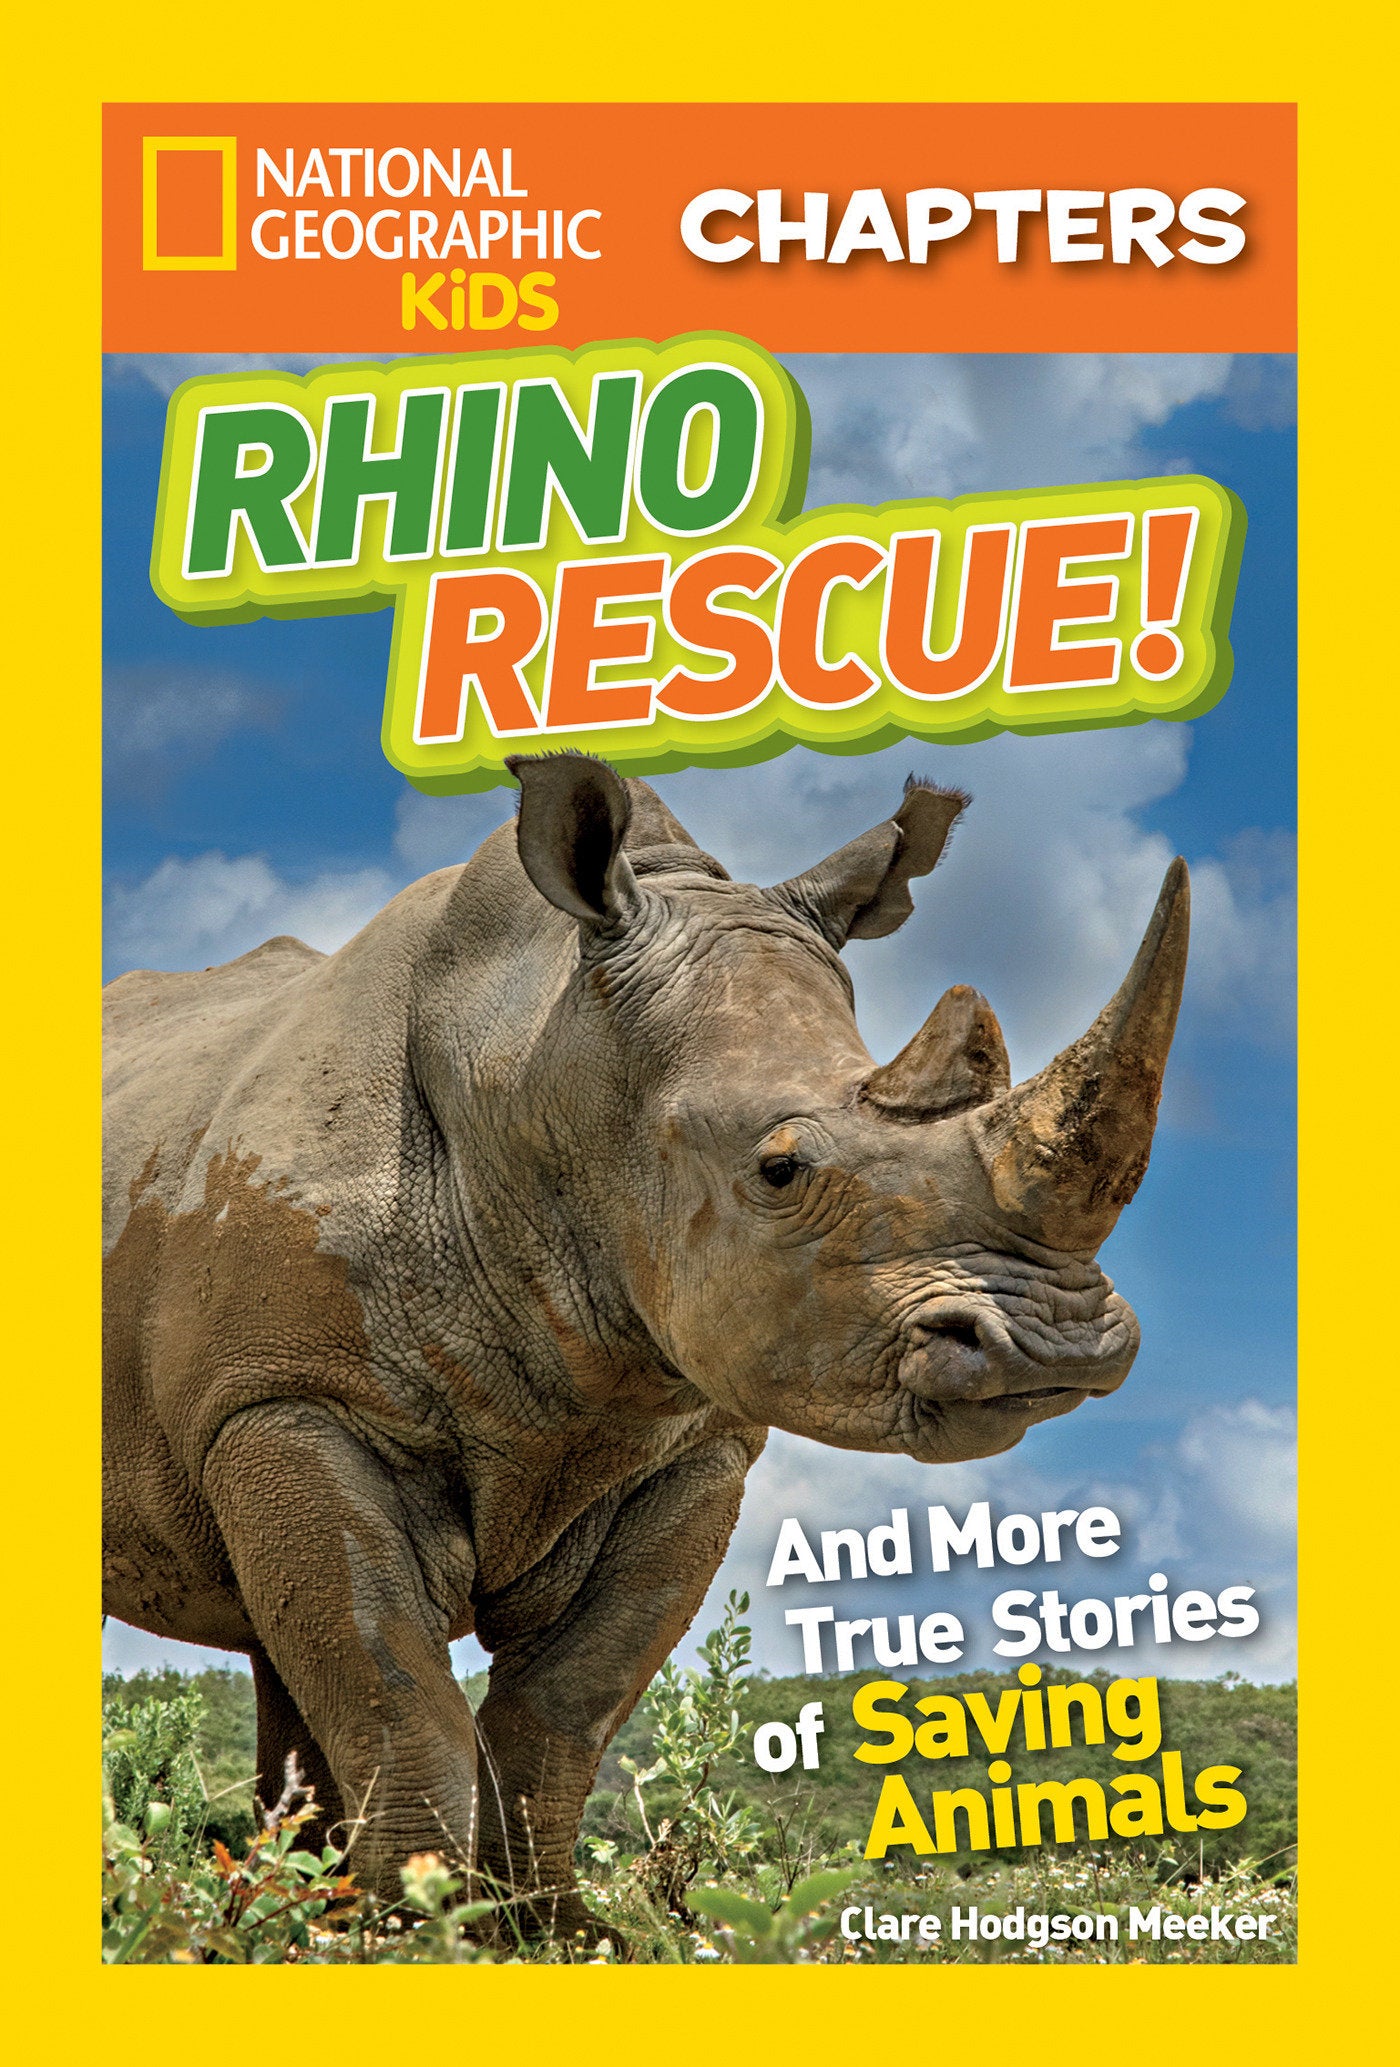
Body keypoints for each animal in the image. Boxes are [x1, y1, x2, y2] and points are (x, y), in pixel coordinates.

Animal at [103, 752, 1188, 1937]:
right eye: (779, 1170)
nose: (1054, 1345)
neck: (544, 1065)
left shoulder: (694, 1442)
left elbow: (564, 1704)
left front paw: (552, 1932)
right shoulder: (286, 1400)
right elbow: (393, 1690)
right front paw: (417, 1933)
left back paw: (283, 1910)